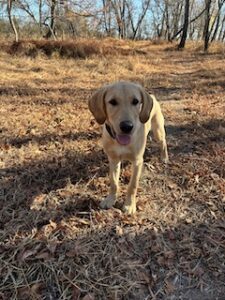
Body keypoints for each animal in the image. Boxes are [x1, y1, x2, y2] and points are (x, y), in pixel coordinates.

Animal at [89, 81, 168, 214]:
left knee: (163, 143)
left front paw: (129, 205)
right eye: (113, 102)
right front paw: (110, 199)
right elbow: (113, 182)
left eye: (135, 101)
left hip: (158, 131)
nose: (127, 126)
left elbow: (132, 185)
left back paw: (164, 157)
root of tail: (152, 96)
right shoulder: (113, 160)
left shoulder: (137, 162)